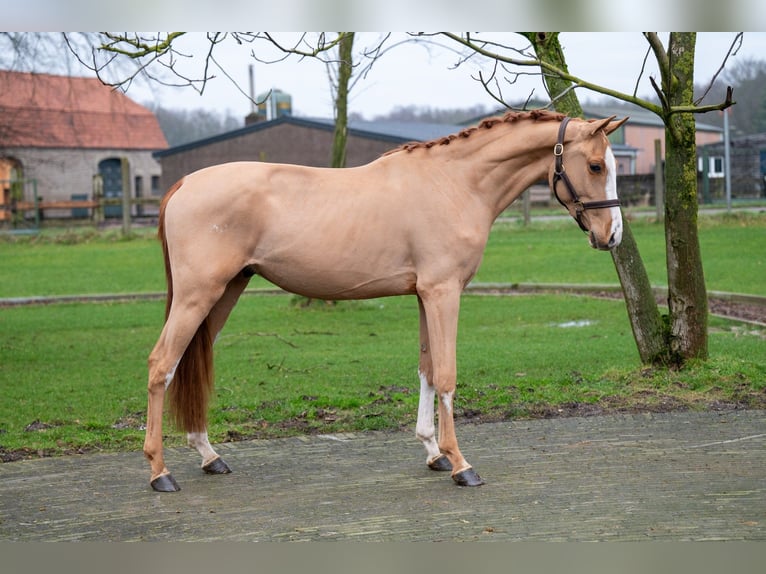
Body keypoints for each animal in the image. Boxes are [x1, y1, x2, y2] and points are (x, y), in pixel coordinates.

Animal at [144, 110, 632, 492]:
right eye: (594, 165)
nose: (612, 236)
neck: (454, 183)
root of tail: (183, 184)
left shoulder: (423, 295)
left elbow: (427, 370)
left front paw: (434, 452)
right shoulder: (443, 292)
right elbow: (448, 374)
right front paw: (461, 465)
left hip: (226, 292)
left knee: (187, 362)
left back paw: (209, 455)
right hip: (198, 295)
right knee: (161, 365)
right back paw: (160, 472)